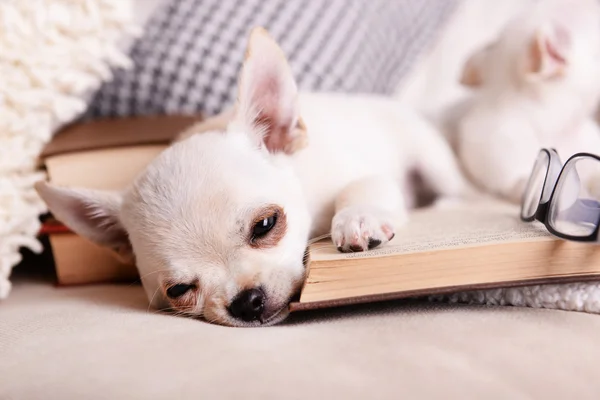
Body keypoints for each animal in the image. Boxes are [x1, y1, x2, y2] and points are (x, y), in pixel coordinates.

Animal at [35, 28, 472, 328]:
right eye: (178, 291)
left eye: (265, 225)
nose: (246, 301)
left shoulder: (360, 174)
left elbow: (363, 185)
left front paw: (358, 220)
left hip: (429, 153)